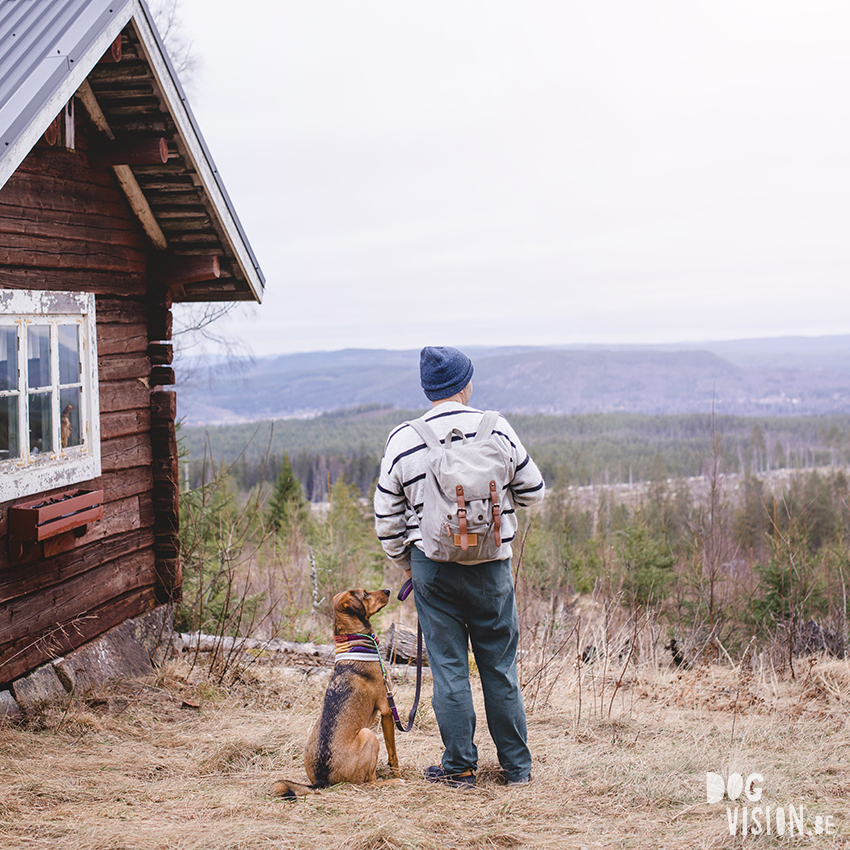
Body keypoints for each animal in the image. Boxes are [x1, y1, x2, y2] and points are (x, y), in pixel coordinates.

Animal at [274, 584, 400, 796]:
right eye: (366, 594)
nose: (389, 591)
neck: (355, 641)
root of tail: (322, 779)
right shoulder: (387, 709)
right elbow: (393, 751)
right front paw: (397, 772)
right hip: (369, 735)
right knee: (371, 782)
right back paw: (392, 782)